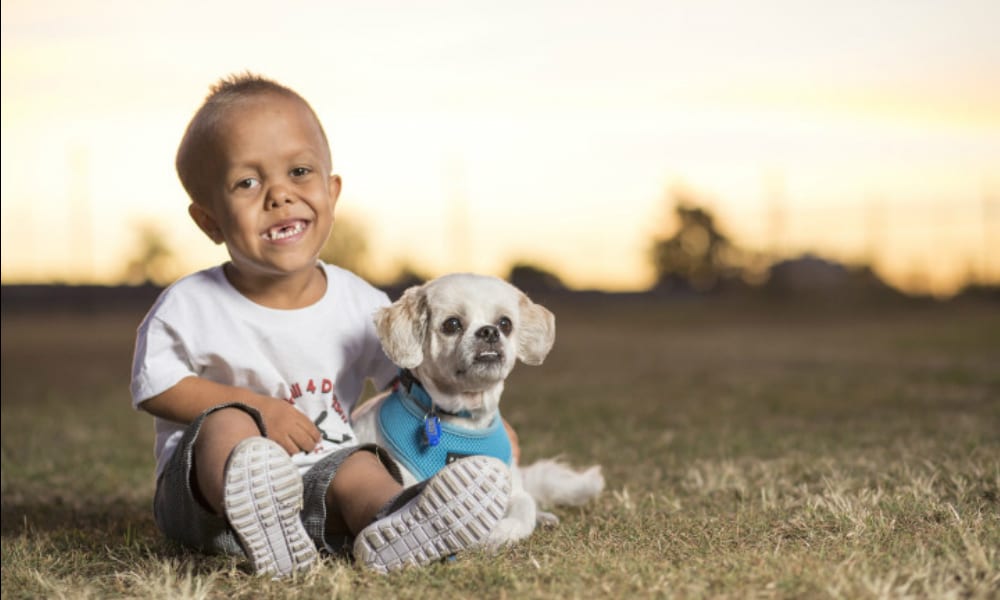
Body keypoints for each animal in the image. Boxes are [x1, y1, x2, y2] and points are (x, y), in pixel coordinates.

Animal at [352, 274, 600, 548]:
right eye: (452, 324)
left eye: (505, 323)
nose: (490, 331)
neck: (466, 419)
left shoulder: (512, 487)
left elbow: (524, 507)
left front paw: (502, 531)